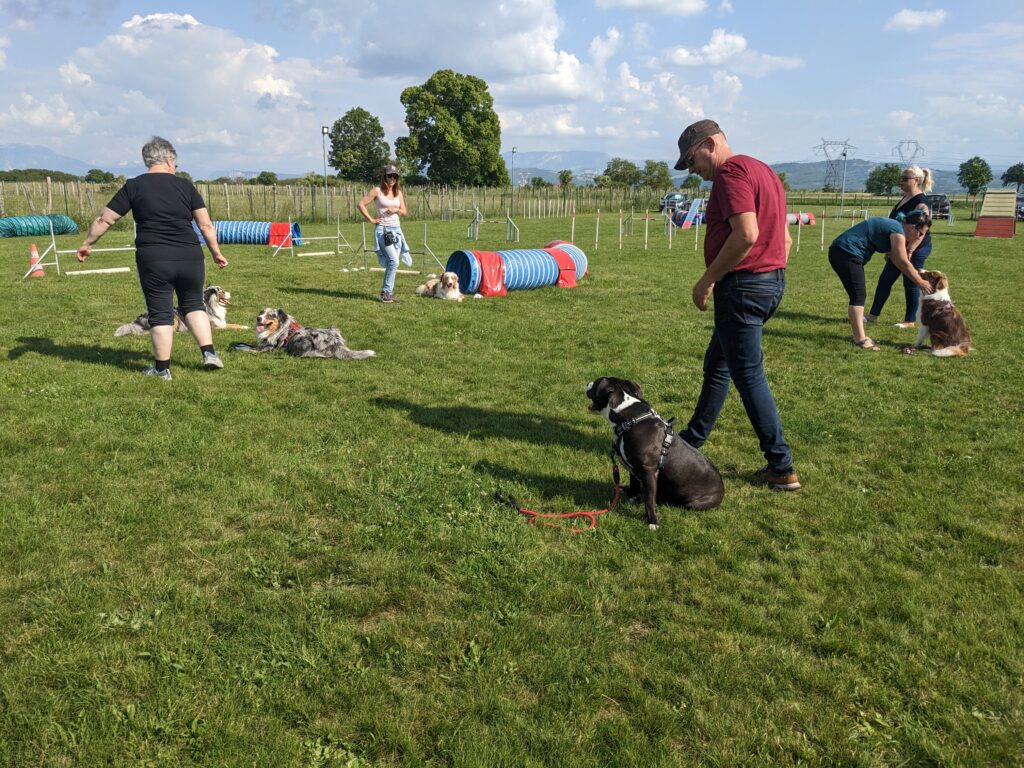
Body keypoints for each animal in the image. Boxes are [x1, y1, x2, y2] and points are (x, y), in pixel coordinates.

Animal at [115, 286, 248, 335]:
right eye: (222, 291)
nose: (231, 293)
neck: (211, 306)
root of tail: (137, 321)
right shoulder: (214, 327)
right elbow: (231, 327)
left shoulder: (221, 323)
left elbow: (234, 324)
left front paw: (245, 326)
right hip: (174, 318)